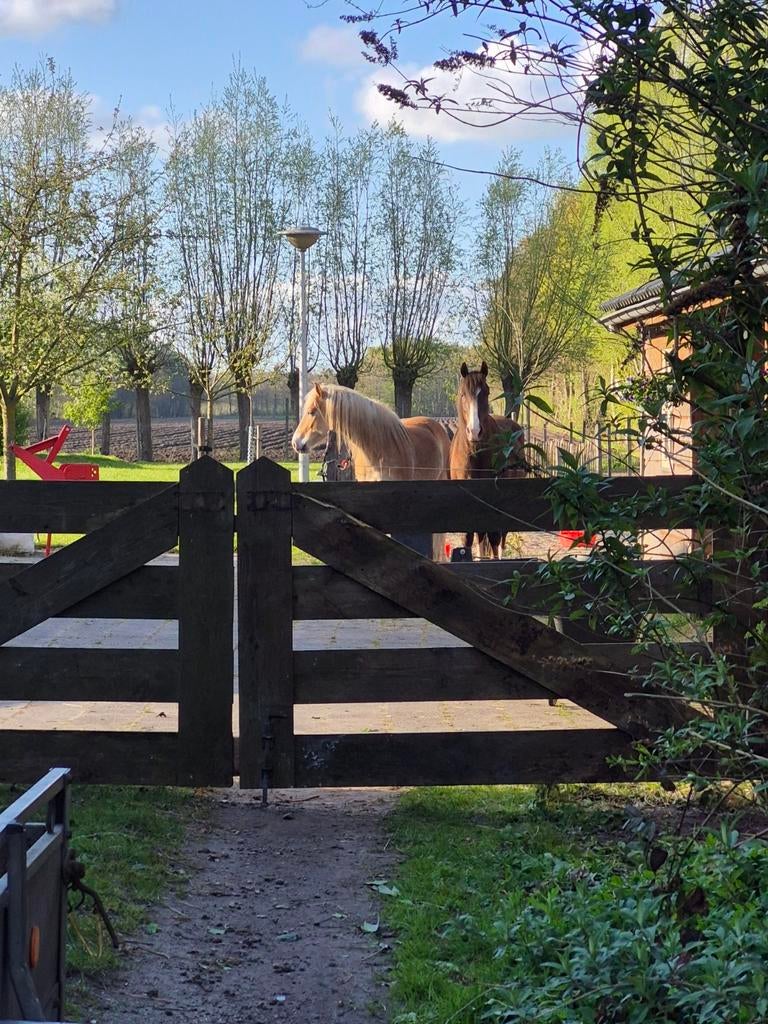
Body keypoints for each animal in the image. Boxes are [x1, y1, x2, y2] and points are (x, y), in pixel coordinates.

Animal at [449, 361, 526, 559]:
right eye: (463, 394)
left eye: (487, 392)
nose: (475, 431)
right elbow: (469, 538)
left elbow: (493, 537)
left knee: (500, 536)